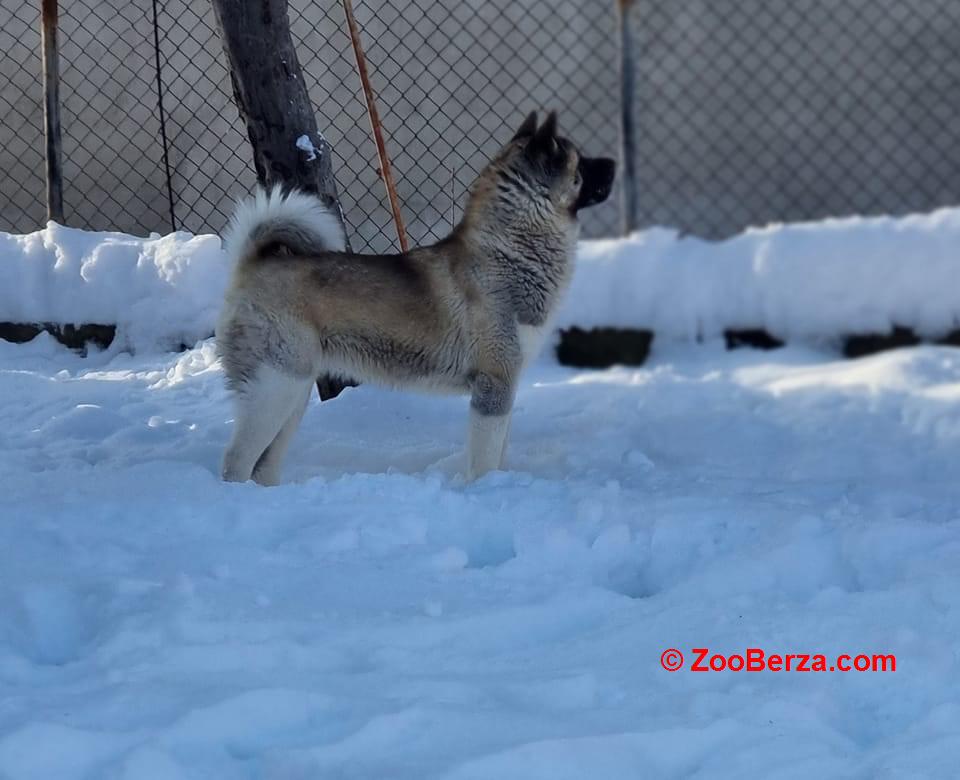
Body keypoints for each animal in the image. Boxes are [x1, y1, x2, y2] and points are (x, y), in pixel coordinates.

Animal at [216, 112, 616, 484]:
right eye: (581, 162)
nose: (613, 163)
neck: (512, 251)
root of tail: (252, 262)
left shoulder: (506, 384)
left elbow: (499, 451)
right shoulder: (493, 385)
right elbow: (485, 459)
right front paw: (486, 489)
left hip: (293, 393)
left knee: (264, 464)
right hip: (276, 387)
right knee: (236, 461)